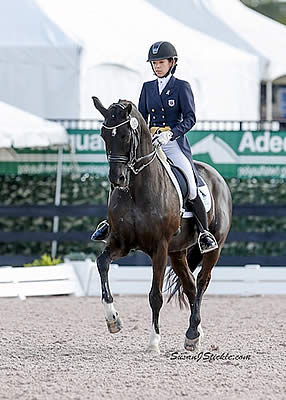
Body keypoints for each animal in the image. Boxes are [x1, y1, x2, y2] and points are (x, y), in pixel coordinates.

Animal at [92, 97, 231, 354]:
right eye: (103, 135)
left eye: (125, 135)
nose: (117, 179)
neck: (136, 190)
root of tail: (216, 176)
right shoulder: (120, 243)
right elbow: (102, 263)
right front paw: (113, 320)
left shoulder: (159, 247)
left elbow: (155, 295)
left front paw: (154, 342)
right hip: (177, 253)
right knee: (190, 286)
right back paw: (195, 334)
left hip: (213, 247)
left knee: (202, 281)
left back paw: (192, 332)